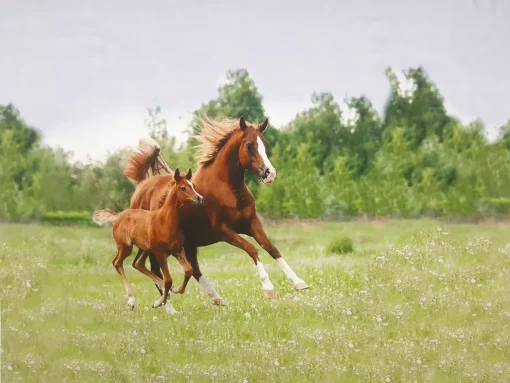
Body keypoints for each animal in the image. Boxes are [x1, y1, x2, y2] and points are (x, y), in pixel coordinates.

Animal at [91, 170, 203, 314]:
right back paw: (131, 300)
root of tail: (118, 216)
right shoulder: (160, 253)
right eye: (183, 188)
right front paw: (157, 303)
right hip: (125, 247)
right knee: (117, 263)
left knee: (138, 263)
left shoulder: (177, 250)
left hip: (145, 248)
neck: (165, 221)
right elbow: (168, 279)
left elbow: (188, 270)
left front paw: (176, 289)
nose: (200, 198)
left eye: (193, 185)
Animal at [125, 115, 308, 304]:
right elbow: (252, 249)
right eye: (249, 145)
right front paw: (268, 287)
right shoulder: (223, 231)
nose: (269, 173)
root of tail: (141, 186)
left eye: (265, 143)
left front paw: (298, 281)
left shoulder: (252, 224)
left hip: (189, 244)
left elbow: (271, 248)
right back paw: (166, 304)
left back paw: (216, 298)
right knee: (156, 271)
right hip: (158, 247)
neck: (228, 189)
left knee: (193, 269)